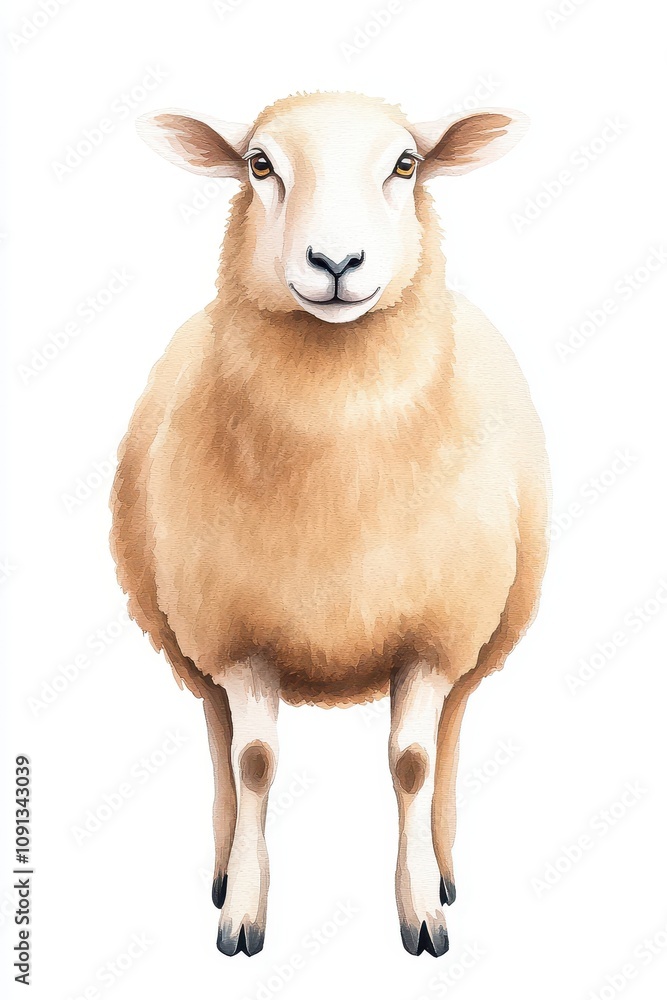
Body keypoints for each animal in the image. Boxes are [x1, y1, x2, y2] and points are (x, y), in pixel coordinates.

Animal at [110, 91, 550, 959]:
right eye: (259, 164)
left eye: (405, 164)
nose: (336, 262)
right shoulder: (235, 637)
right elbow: (252, 761)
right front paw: (243, 913)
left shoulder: (433, 637)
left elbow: (412, 763)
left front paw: (423, 912)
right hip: (181, 634)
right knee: (216, 737)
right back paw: (222, 868)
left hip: (488, 630)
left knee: (452, 733)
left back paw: (445, 864)